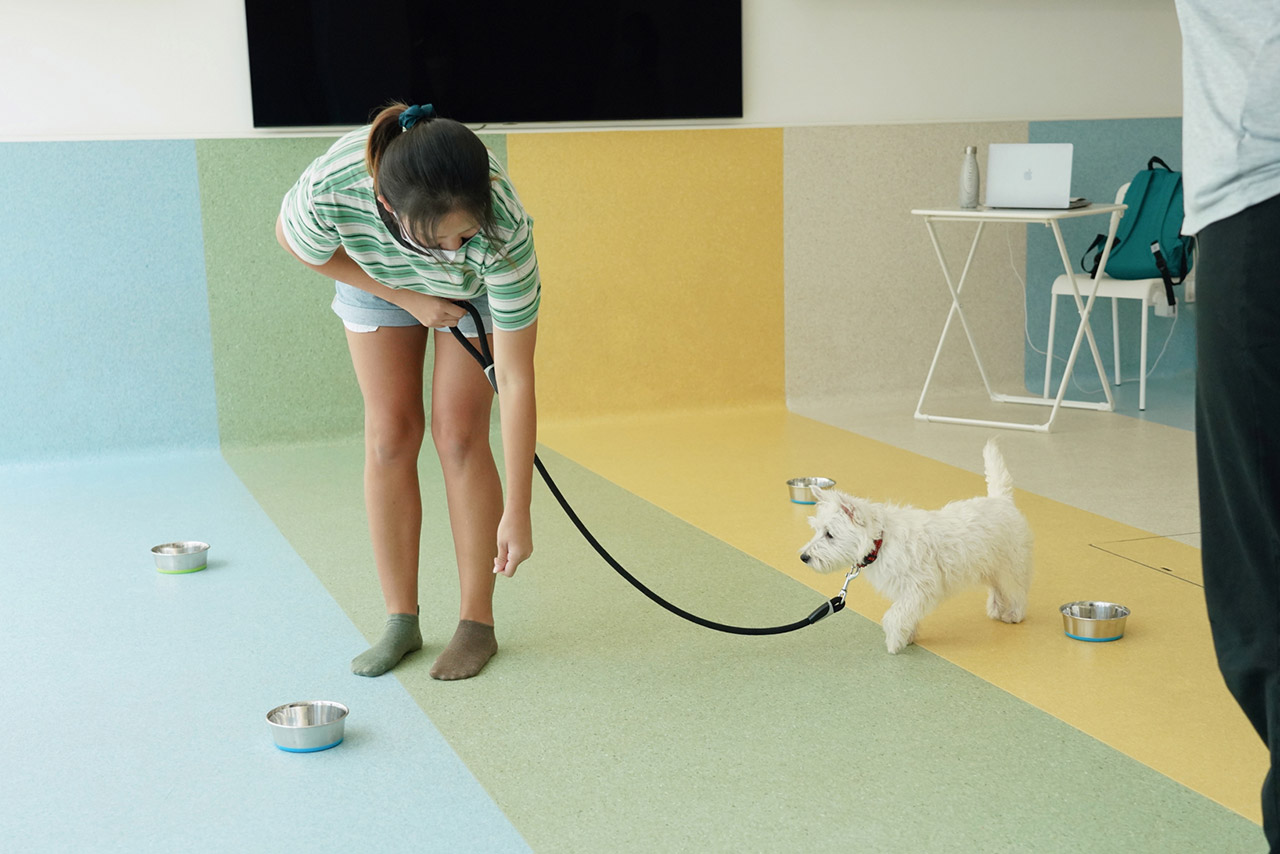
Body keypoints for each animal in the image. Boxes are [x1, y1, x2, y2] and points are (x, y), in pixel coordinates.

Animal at [793, 440, 1034, 655]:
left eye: (829, 534)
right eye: (817, 530)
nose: (804, 557)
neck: (881, 541)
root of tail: (1002, 500)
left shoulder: (920, 587)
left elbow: (895, 615)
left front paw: (894, 642)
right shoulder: (908, 591)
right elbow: (906, 614)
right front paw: (907, 636)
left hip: (1011, 566)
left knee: (1017, 593)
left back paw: (1013, 614)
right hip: (993, 566)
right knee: (998, 589)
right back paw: (996, 609)